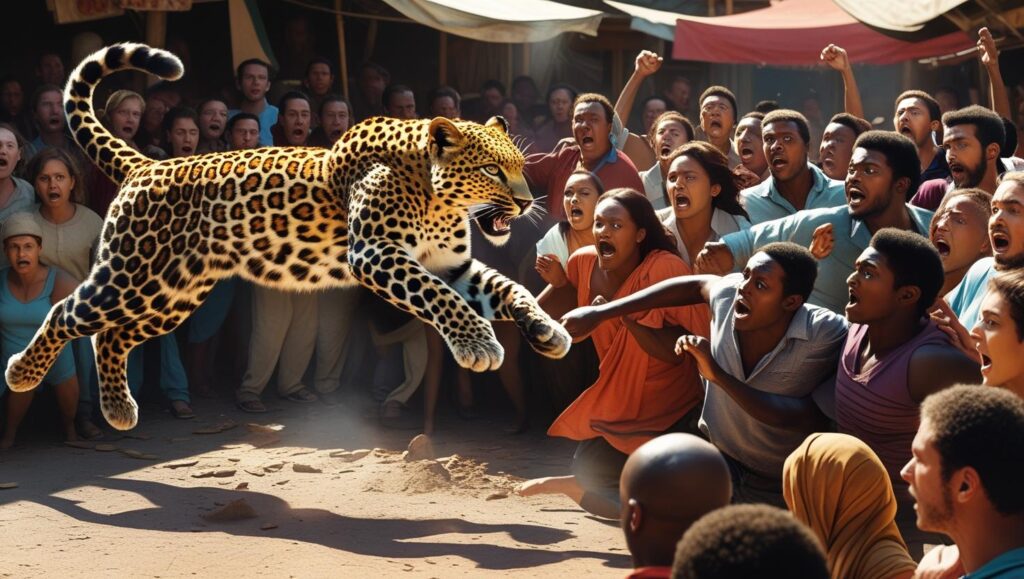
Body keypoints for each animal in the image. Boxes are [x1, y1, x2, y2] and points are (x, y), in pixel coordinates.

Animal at [5, 43, 570, 430]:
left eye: (520, 167)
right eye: (492, 170)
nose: (526, 203)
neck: (438, 201)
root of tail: (147, 165)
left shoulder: (451, 266)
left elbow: (509, 288)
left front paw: (547, 331)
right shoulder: (376, 253)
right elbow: (438, 298)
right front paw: (478, 343)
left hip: (171, 293)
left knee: (111, 334)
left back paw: (119, 408)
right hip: (133, 276)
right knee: (66, 312)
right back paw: (22, 373)